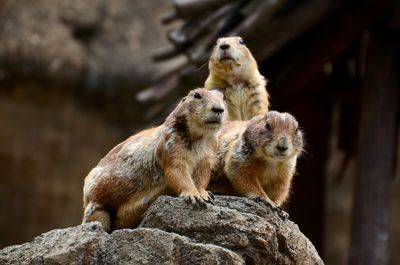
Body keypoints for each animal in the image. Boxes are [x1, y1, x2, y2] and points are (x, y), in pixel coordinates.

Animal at [82, 87, 225, 230]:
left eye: (222, 97)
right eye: (197, 95)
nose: (219, 109)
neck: (200, 137)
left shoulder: (209, 152)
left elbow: (203, 174)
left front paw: (205, 194)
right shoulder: (171, 143)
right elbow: (176, 170)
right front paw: (194, 195)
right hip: (96, 204)